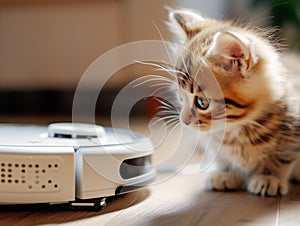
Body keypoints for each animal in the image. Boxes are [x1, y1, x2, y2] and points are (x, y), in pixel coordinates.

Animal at [168, 9, 298, 196]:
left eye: (201, 102)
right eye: (180, 97)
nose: (183, 121)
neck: (235, 129)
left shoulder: (293, 131)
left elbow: (282, 156)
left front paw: (269, 176)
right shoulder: (213, 144)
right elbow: (222, 156)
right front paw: (226, 173)